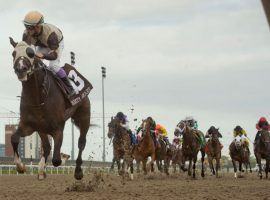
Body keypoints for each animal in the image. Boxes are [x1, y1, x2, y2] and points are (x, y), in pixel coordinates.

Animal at [9, 38, 90, 180]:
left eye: (30, 53)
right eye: (14, 53)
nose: (20, 69)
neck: (38, 97)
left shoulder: (58, 129)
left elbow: (56, 160)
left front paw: (64, 158)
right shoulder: (28, 125)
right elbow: (14, 138)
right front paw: (21, 167)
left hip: (84, 116)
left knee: (81, 142)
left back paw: (78, 171)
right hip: (41, 128)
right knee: (46, 146)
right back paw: (41, 171)